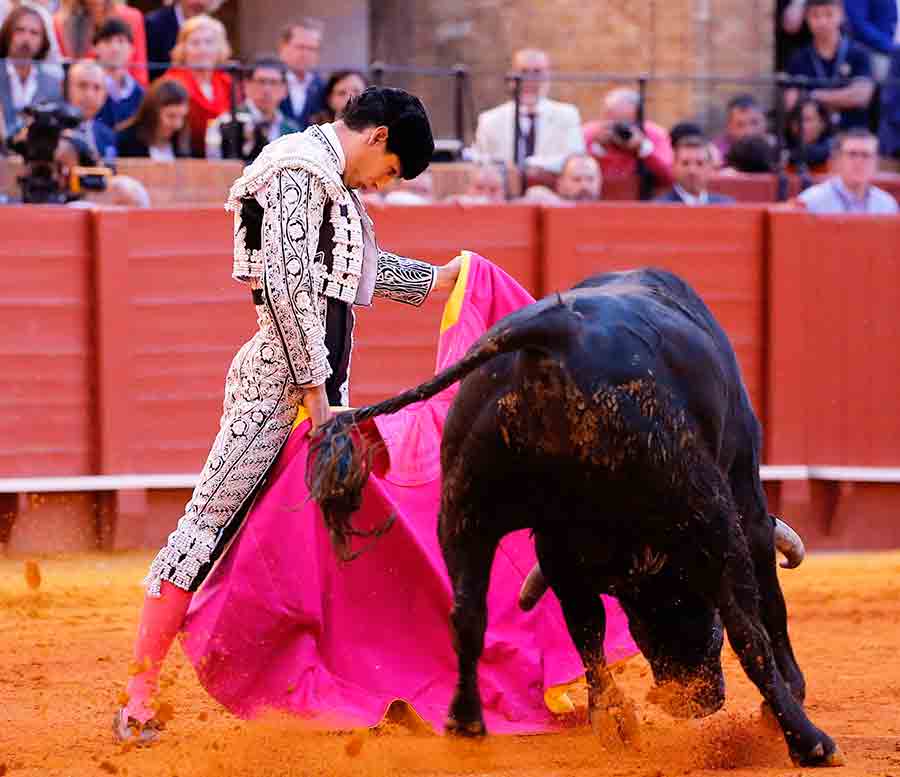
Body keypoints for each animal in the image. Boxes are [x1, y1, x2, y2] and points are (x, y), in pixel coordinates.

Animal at [310, 270, 844, 768]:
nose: (694, 701)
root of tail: (554, 332)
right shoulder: (745, 489)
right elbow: (766, 603)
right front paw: (788, 698)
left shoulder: (559, 547)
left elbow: (586, 627)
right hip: (706, 505)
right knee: (746, 625)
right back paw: (810, 741)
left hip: (466, 509)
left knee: (470, 615)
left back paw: (469, 726)